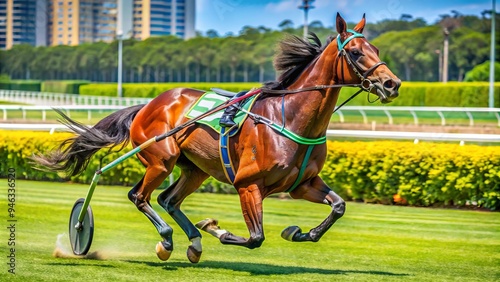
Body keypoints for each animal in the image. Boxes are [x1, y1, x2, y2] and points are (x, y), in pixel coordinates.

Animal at [34, 13, 402, 264]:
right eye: (356, 52)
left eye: (375, 47)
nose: (392, 84)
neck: (288, 117)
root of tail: (149, 104)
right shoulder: (247, 184)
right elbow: (255, 237)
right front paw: (217, 228)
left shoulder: (302, 184)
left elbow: (338, 206)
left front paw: (300, 231)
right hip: (160, 158)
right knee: (139, 196)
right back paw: (157, 239)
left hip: (195, 168)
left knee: (168, 199)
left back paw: (193, 242)